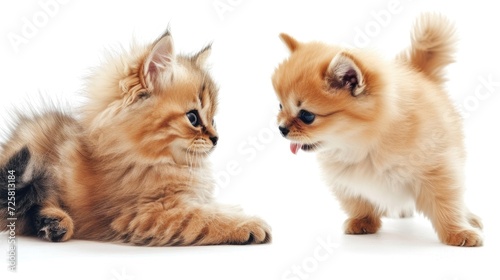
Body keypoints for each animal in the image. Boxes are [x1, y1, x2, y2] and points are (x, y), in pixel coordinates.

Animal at [0, 30, 270, 245]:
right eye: (193, 118)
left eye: (213, 120)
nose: (216, 138)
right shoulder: (146, 214)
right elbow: (203, 218)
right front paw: (248, 225)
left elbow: (212, 206)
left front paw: (235, 210)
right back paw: (56, 224)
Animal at [272, 13, 482, 246]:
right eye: (280, 106)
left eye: (307, 116)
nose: (281, 128)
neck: (364, 145)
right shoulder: (345, 179)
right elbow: (357, 201)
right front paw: (363, 221)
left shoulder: (438, 169)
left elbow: (446, 204)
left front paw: (458, 233)